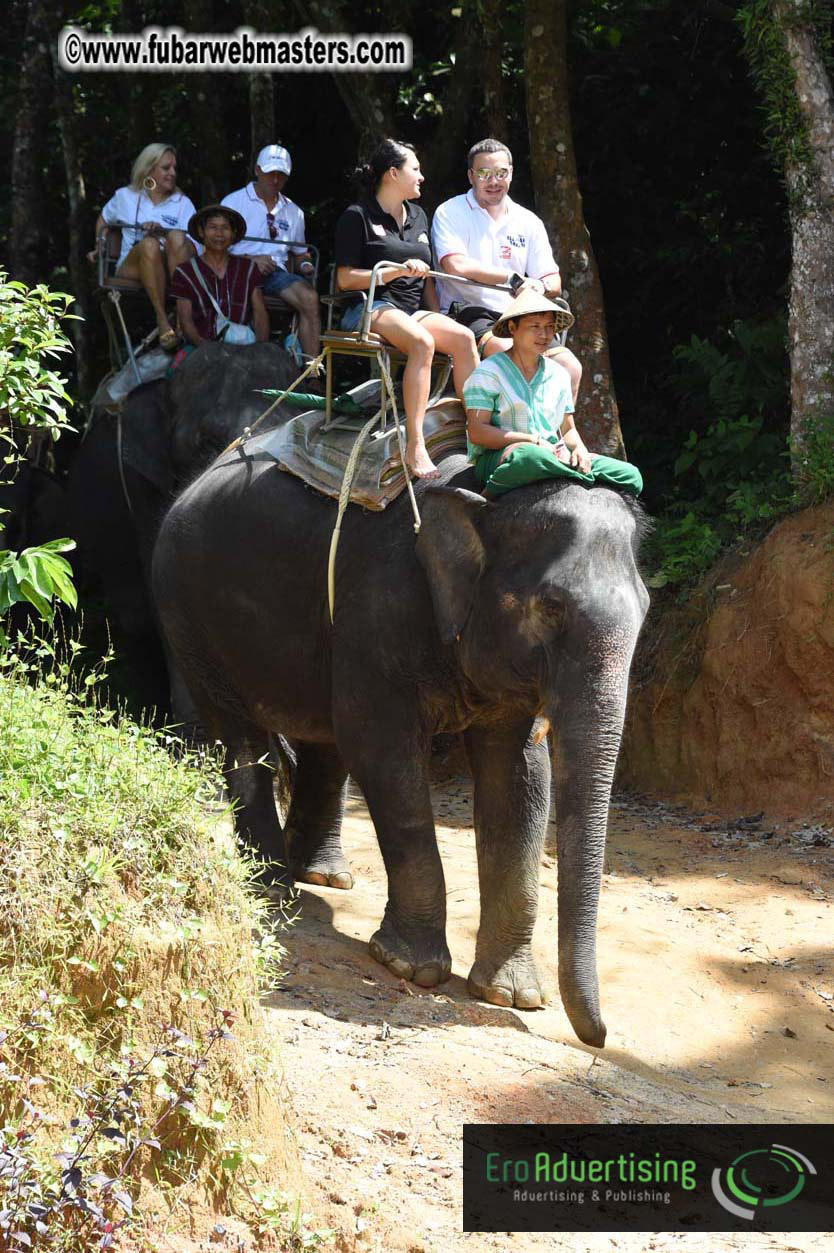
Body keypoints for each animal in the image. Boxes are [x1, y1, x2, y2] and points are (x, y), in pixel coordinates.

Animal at [151, 442, 649, 1048]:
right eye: (551, 607)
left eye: (647, 609)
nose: (598, 1038)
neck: (482, 499)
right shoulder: (378, 615)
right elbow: (381, 750)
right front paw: (412, 968)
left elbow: (520, 779)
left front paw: (510, 996)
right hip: (186, 612)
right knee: (245, 735)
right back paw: (272, 888)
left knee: (323, 740)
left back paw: (322, 875)